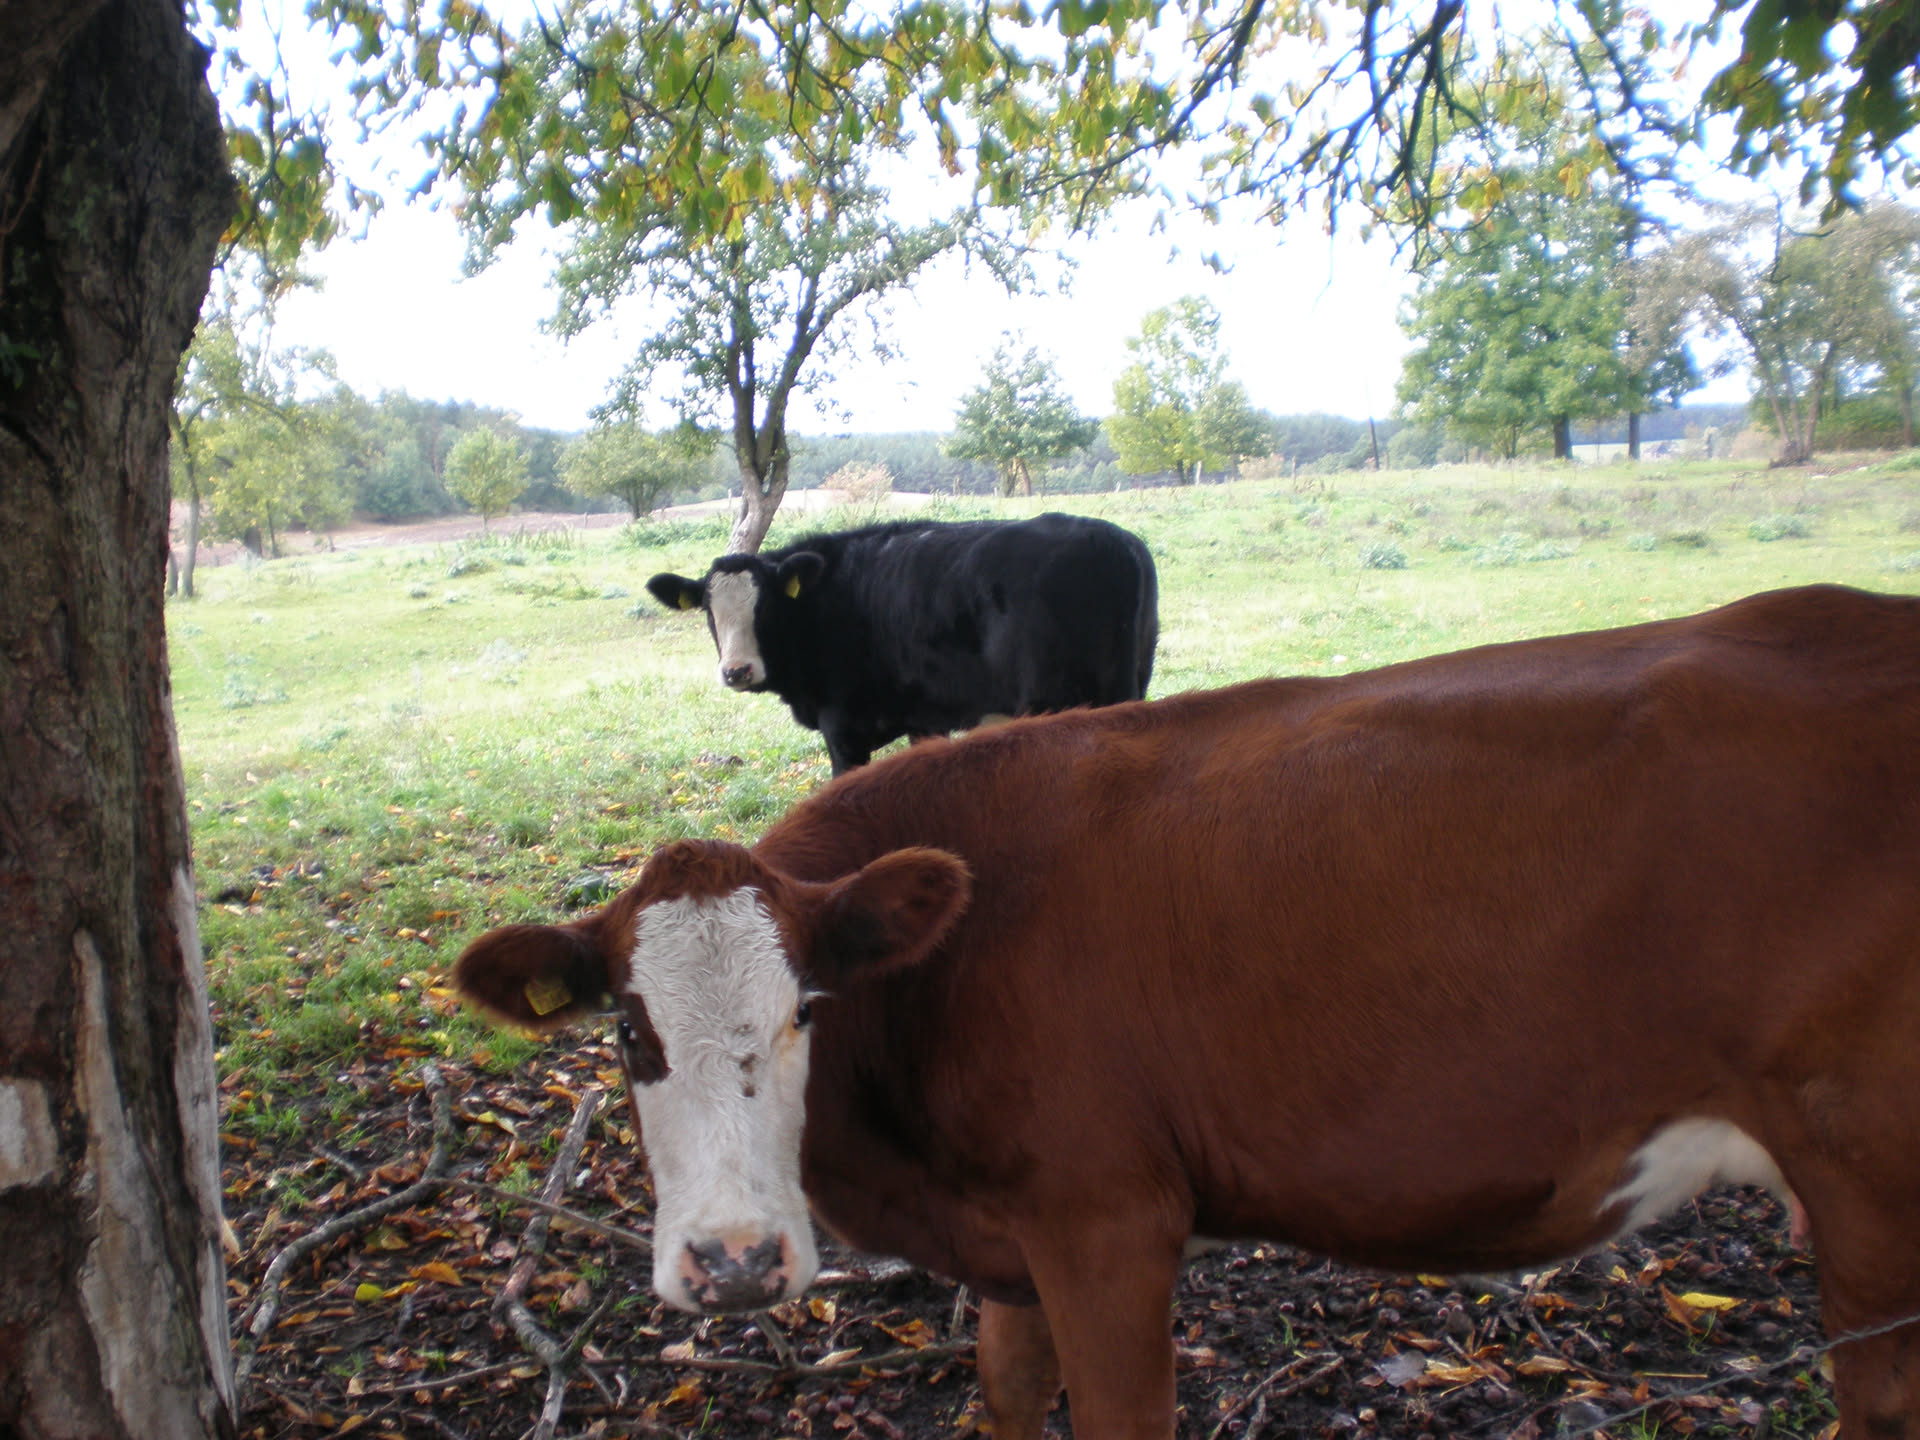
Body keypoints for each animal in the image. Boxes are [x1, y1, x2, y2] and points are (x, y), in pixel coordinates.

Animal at [454, 583, 1920, 1439]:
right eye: (628, 1032)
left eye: (809, 1007)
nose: (737, 1263)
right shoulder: (1014, 1246)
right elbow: (1007, 1401)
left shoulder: (1109, 1222)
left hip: (1873, 1181)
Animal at [645, 512, 1159, 773]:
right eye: (708, 611)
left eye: (766, 606)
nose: (737, 671)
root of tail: (1114, 539)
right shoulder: (924, 718)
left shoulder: (843, 731)